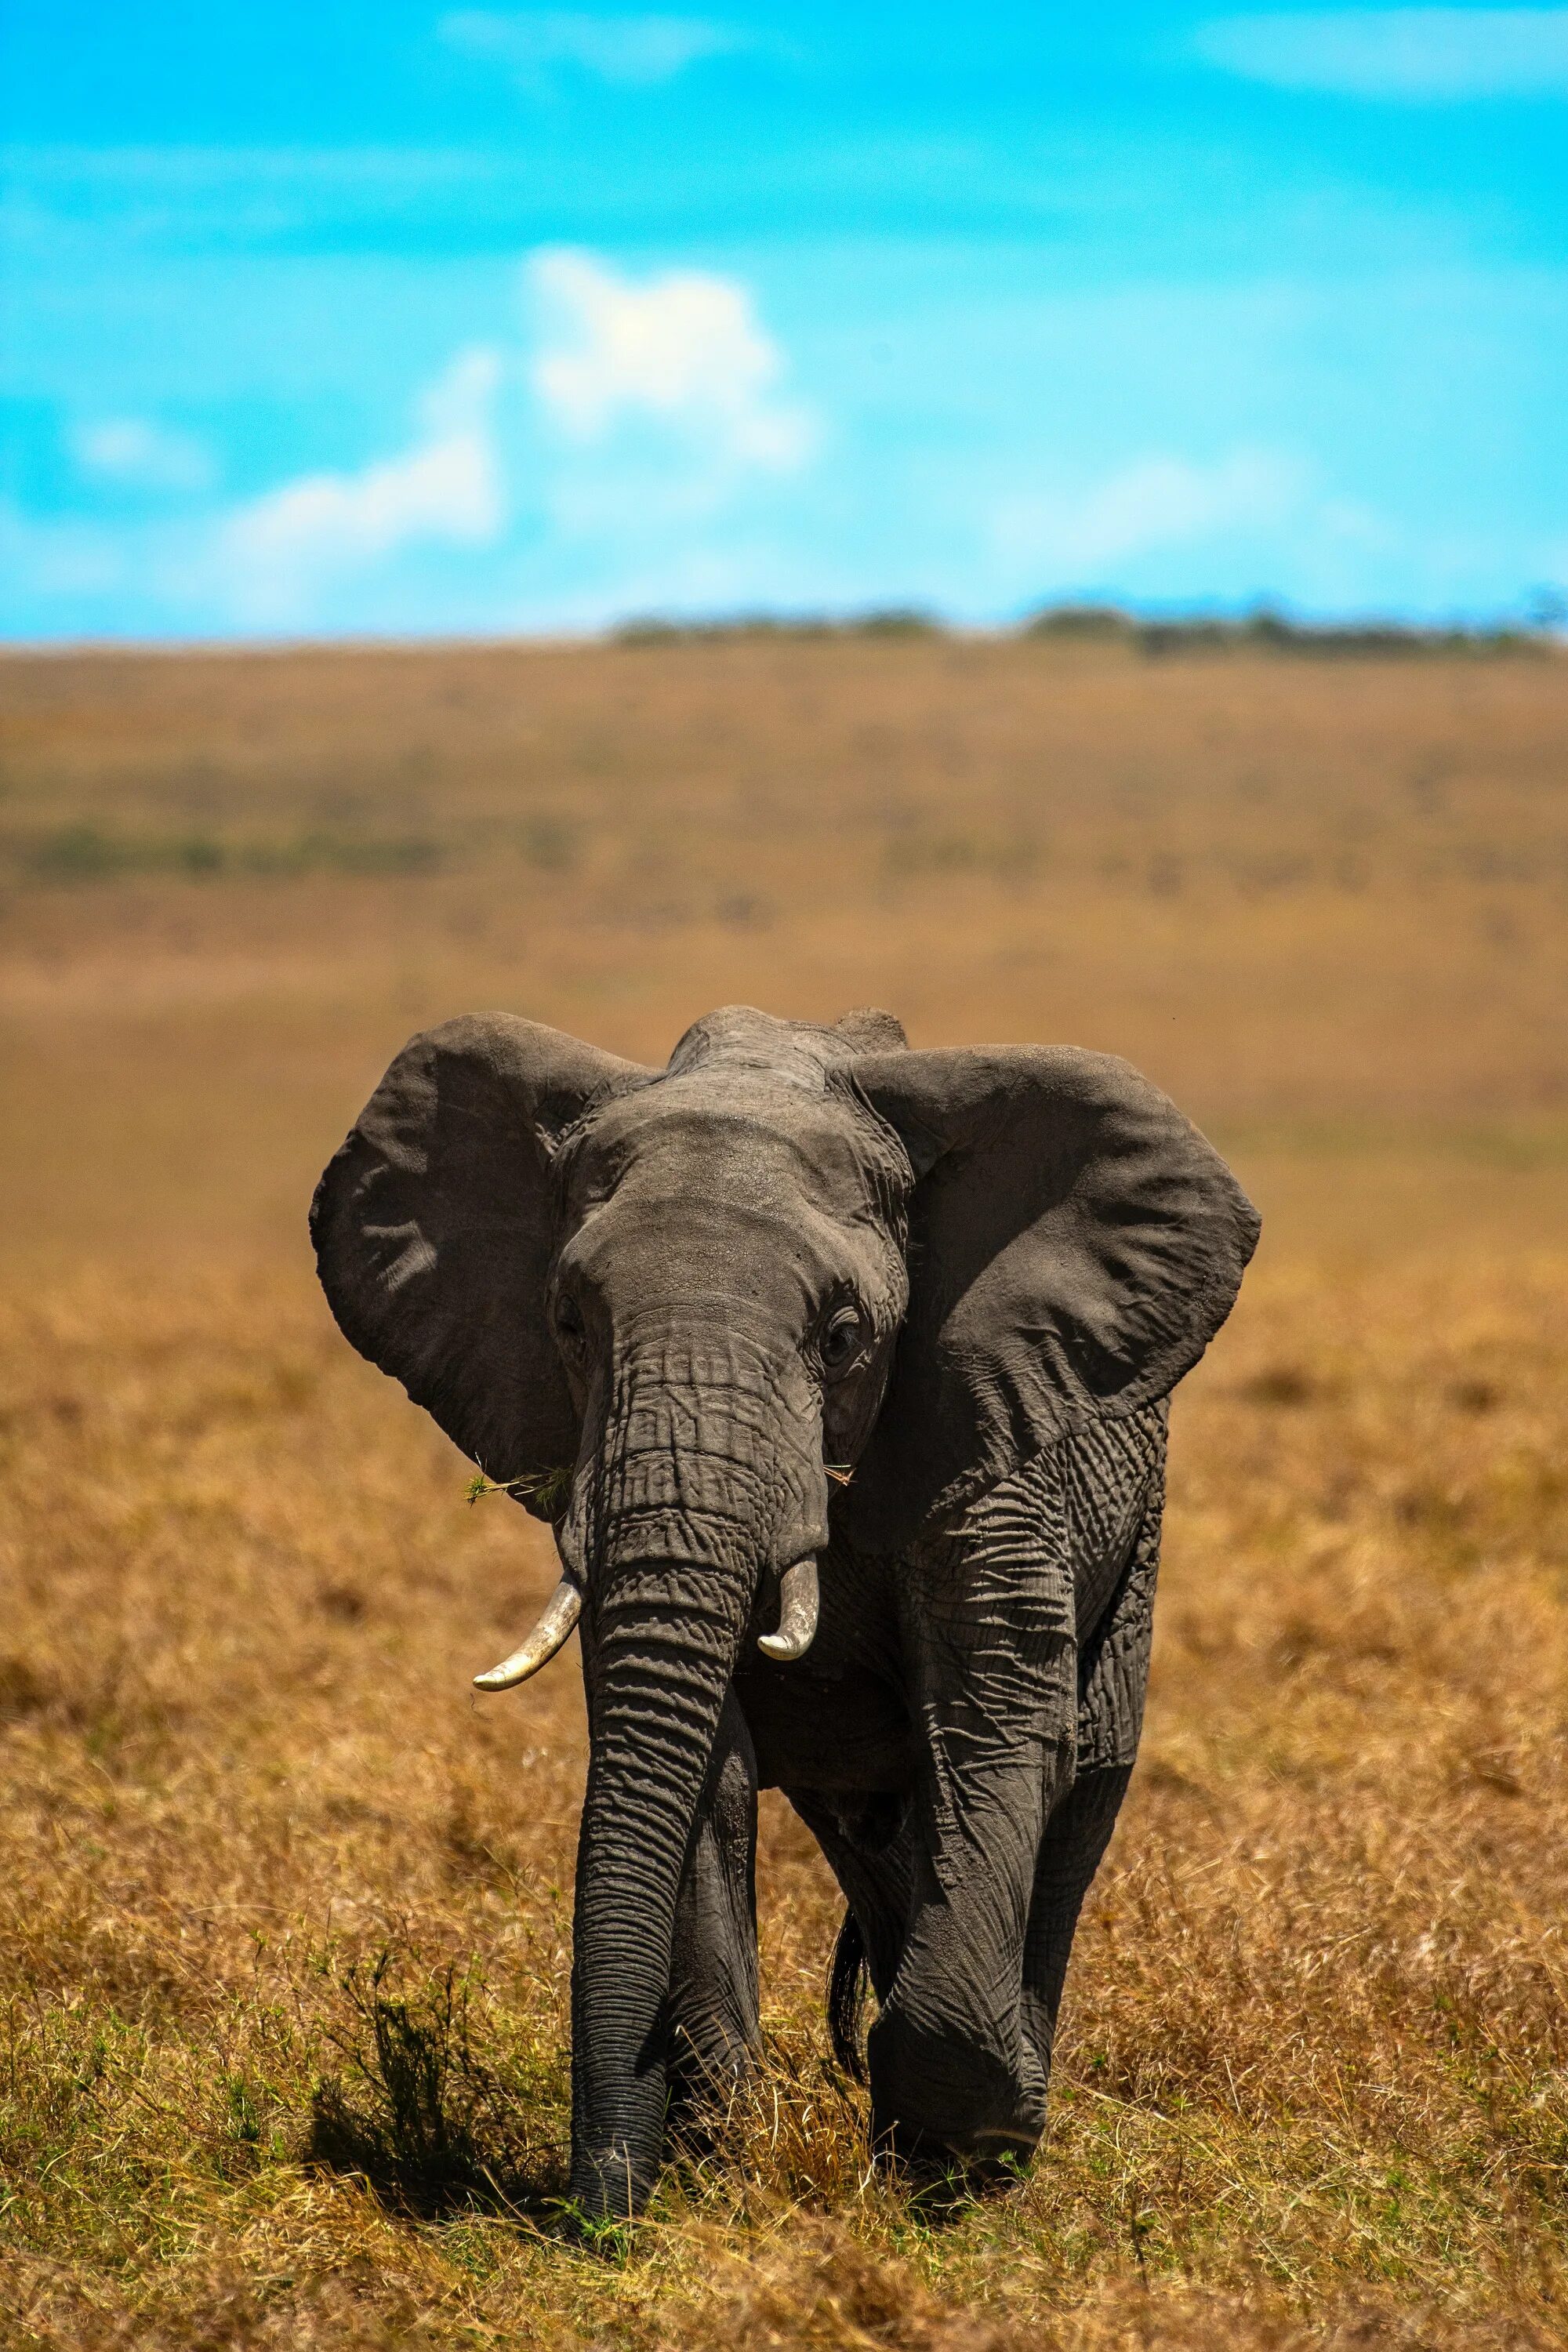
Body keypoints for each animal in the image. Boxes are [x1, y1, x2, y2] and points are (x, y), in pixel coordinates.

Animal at [312, 1007, 1260, 2220]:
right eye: (568, 1324)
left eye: (844, 1335)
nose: (596, 2214)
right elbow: (700, 1765)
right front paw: (727, 2165)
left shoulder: (987, 1422)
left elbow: (995, 1711)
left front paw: (966, 2157)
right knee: (879, 1838)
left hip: (1134, 1536)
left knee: (1079, 1787)